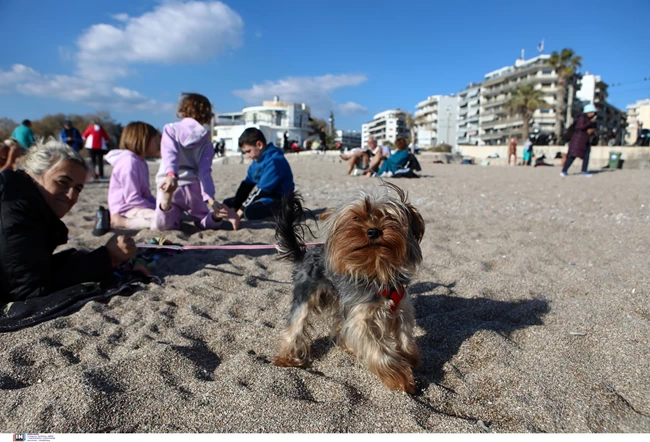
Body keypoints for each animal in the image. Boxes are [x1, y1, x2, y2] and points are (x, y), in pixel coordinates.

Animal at [270, 181, 422, 392]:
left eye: (389, 216)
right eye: (356, 217)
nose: (373, 231)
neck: (378, 271)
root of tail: (305, 254)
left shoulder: (402, 308)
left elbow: (406, 337)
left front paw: (409, 358)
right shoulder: (361, 318)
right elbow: (378, 349)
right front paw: (399, 377)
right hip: (305, 293)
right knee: (296, 324)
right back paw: (286, 358)